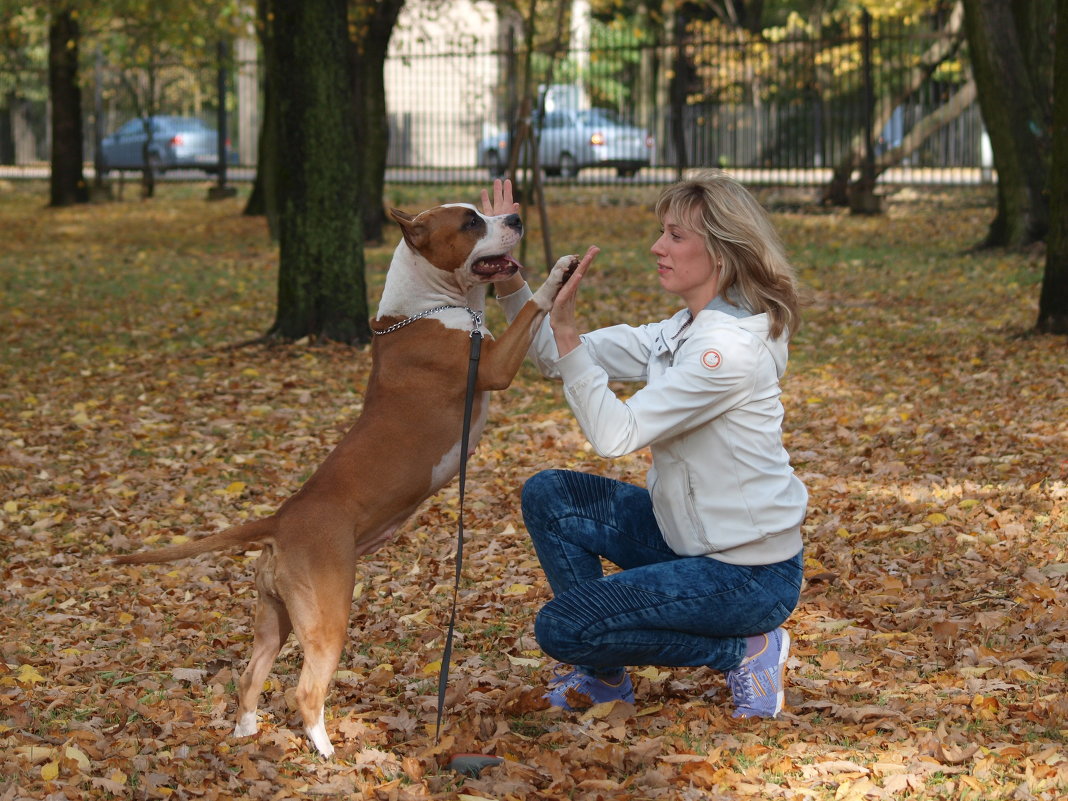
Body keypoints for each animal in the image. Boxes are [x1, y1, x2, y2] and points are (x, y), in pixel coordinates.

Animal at [113, 200, 580, 760]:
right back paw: (328, 752)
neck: (430, 304)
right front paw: (560, 272)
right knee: (305, 690)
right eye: (471, 222)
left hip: (274, 618)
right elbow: (532, 310)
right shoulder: (492, 365)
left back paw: (247, 735)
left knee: (250, 676)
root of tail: (281, 520)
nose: (512, 216)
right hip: (328, 616)